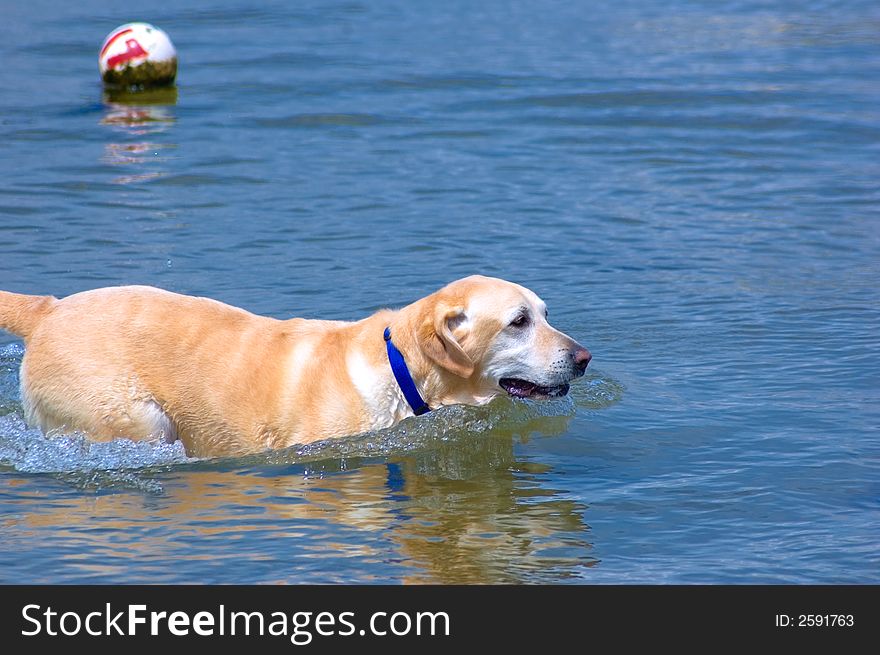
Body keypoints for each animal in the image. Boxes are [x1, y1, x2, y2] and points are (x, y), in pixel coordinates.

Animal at [3, 276, 592, 456]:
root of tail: (47, 309)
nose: (585, 358)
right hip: (136, 418)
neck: (404, 373)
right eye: (518, 322)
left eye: (544, 313)